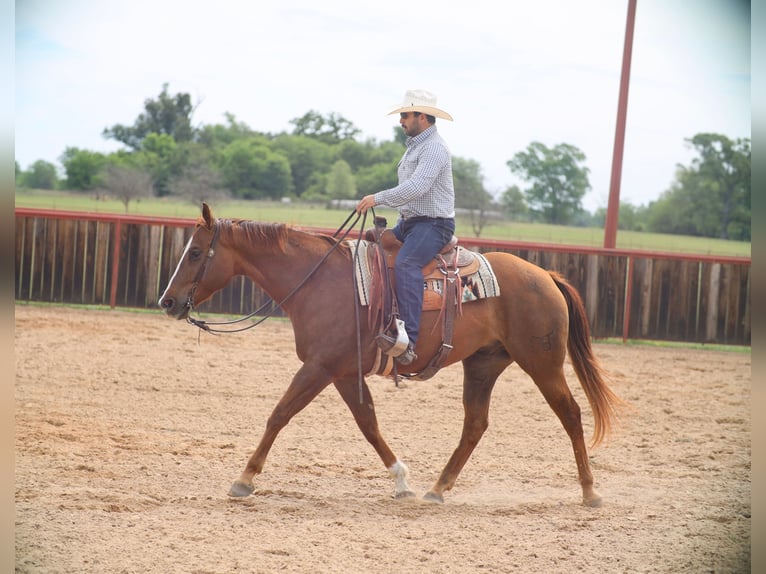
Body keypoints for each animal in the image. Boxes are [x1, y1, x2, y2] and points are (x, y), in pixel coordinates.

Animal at [159, 203, 623, 506]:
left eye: (195, 253)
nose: (167, 301)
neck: (319, 282)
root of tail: (545, 275)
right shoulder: (343, 372)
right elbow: (368, 423)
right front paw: (402, 482)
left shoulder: (319, 367)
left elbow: (280, 414)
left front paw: (244, 479)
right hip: (483, 364)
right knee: (475, 424)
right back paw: (437, 489)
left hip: (542, 363)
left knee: (571, 414)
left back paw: (590, 491)